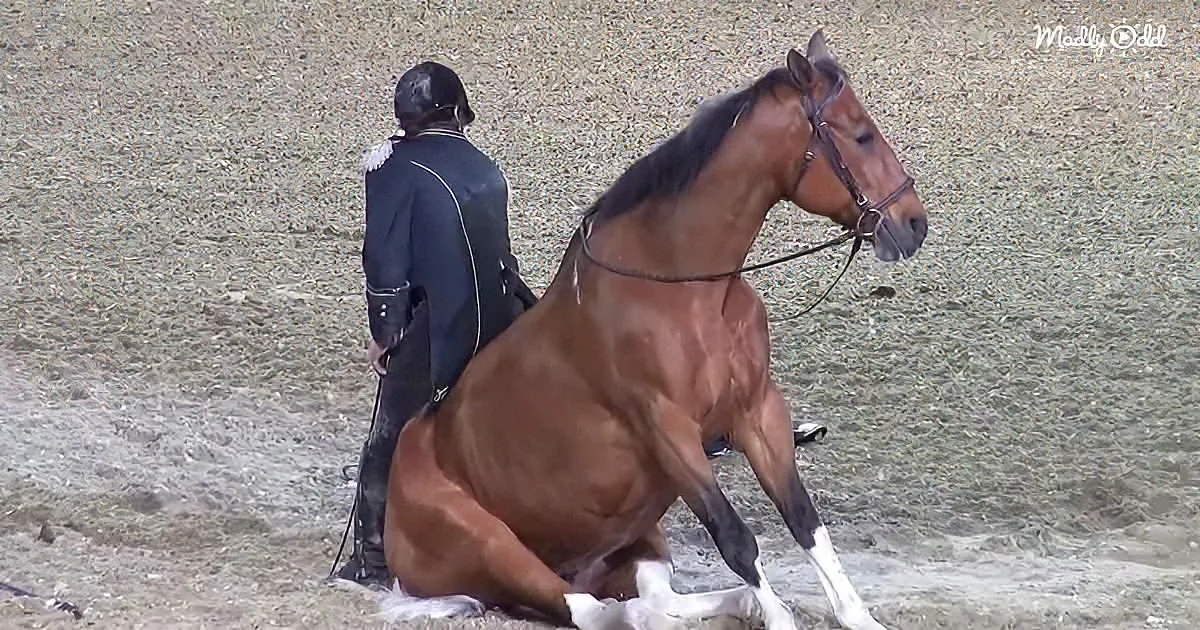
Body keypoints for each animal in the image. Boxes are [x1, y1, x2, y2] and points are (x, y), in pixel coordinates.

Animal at [368, 31, 927, 630]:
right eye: (861, 135)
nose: (914, 224)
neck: (687, 291)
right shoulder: (669, 430)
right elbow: (737, 540)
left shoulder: (758, 413)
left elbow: (804, 519)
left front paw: (856, 616)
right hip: (498, 549)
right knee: (599, 614)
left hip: (637, 545)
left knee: (652, 603)